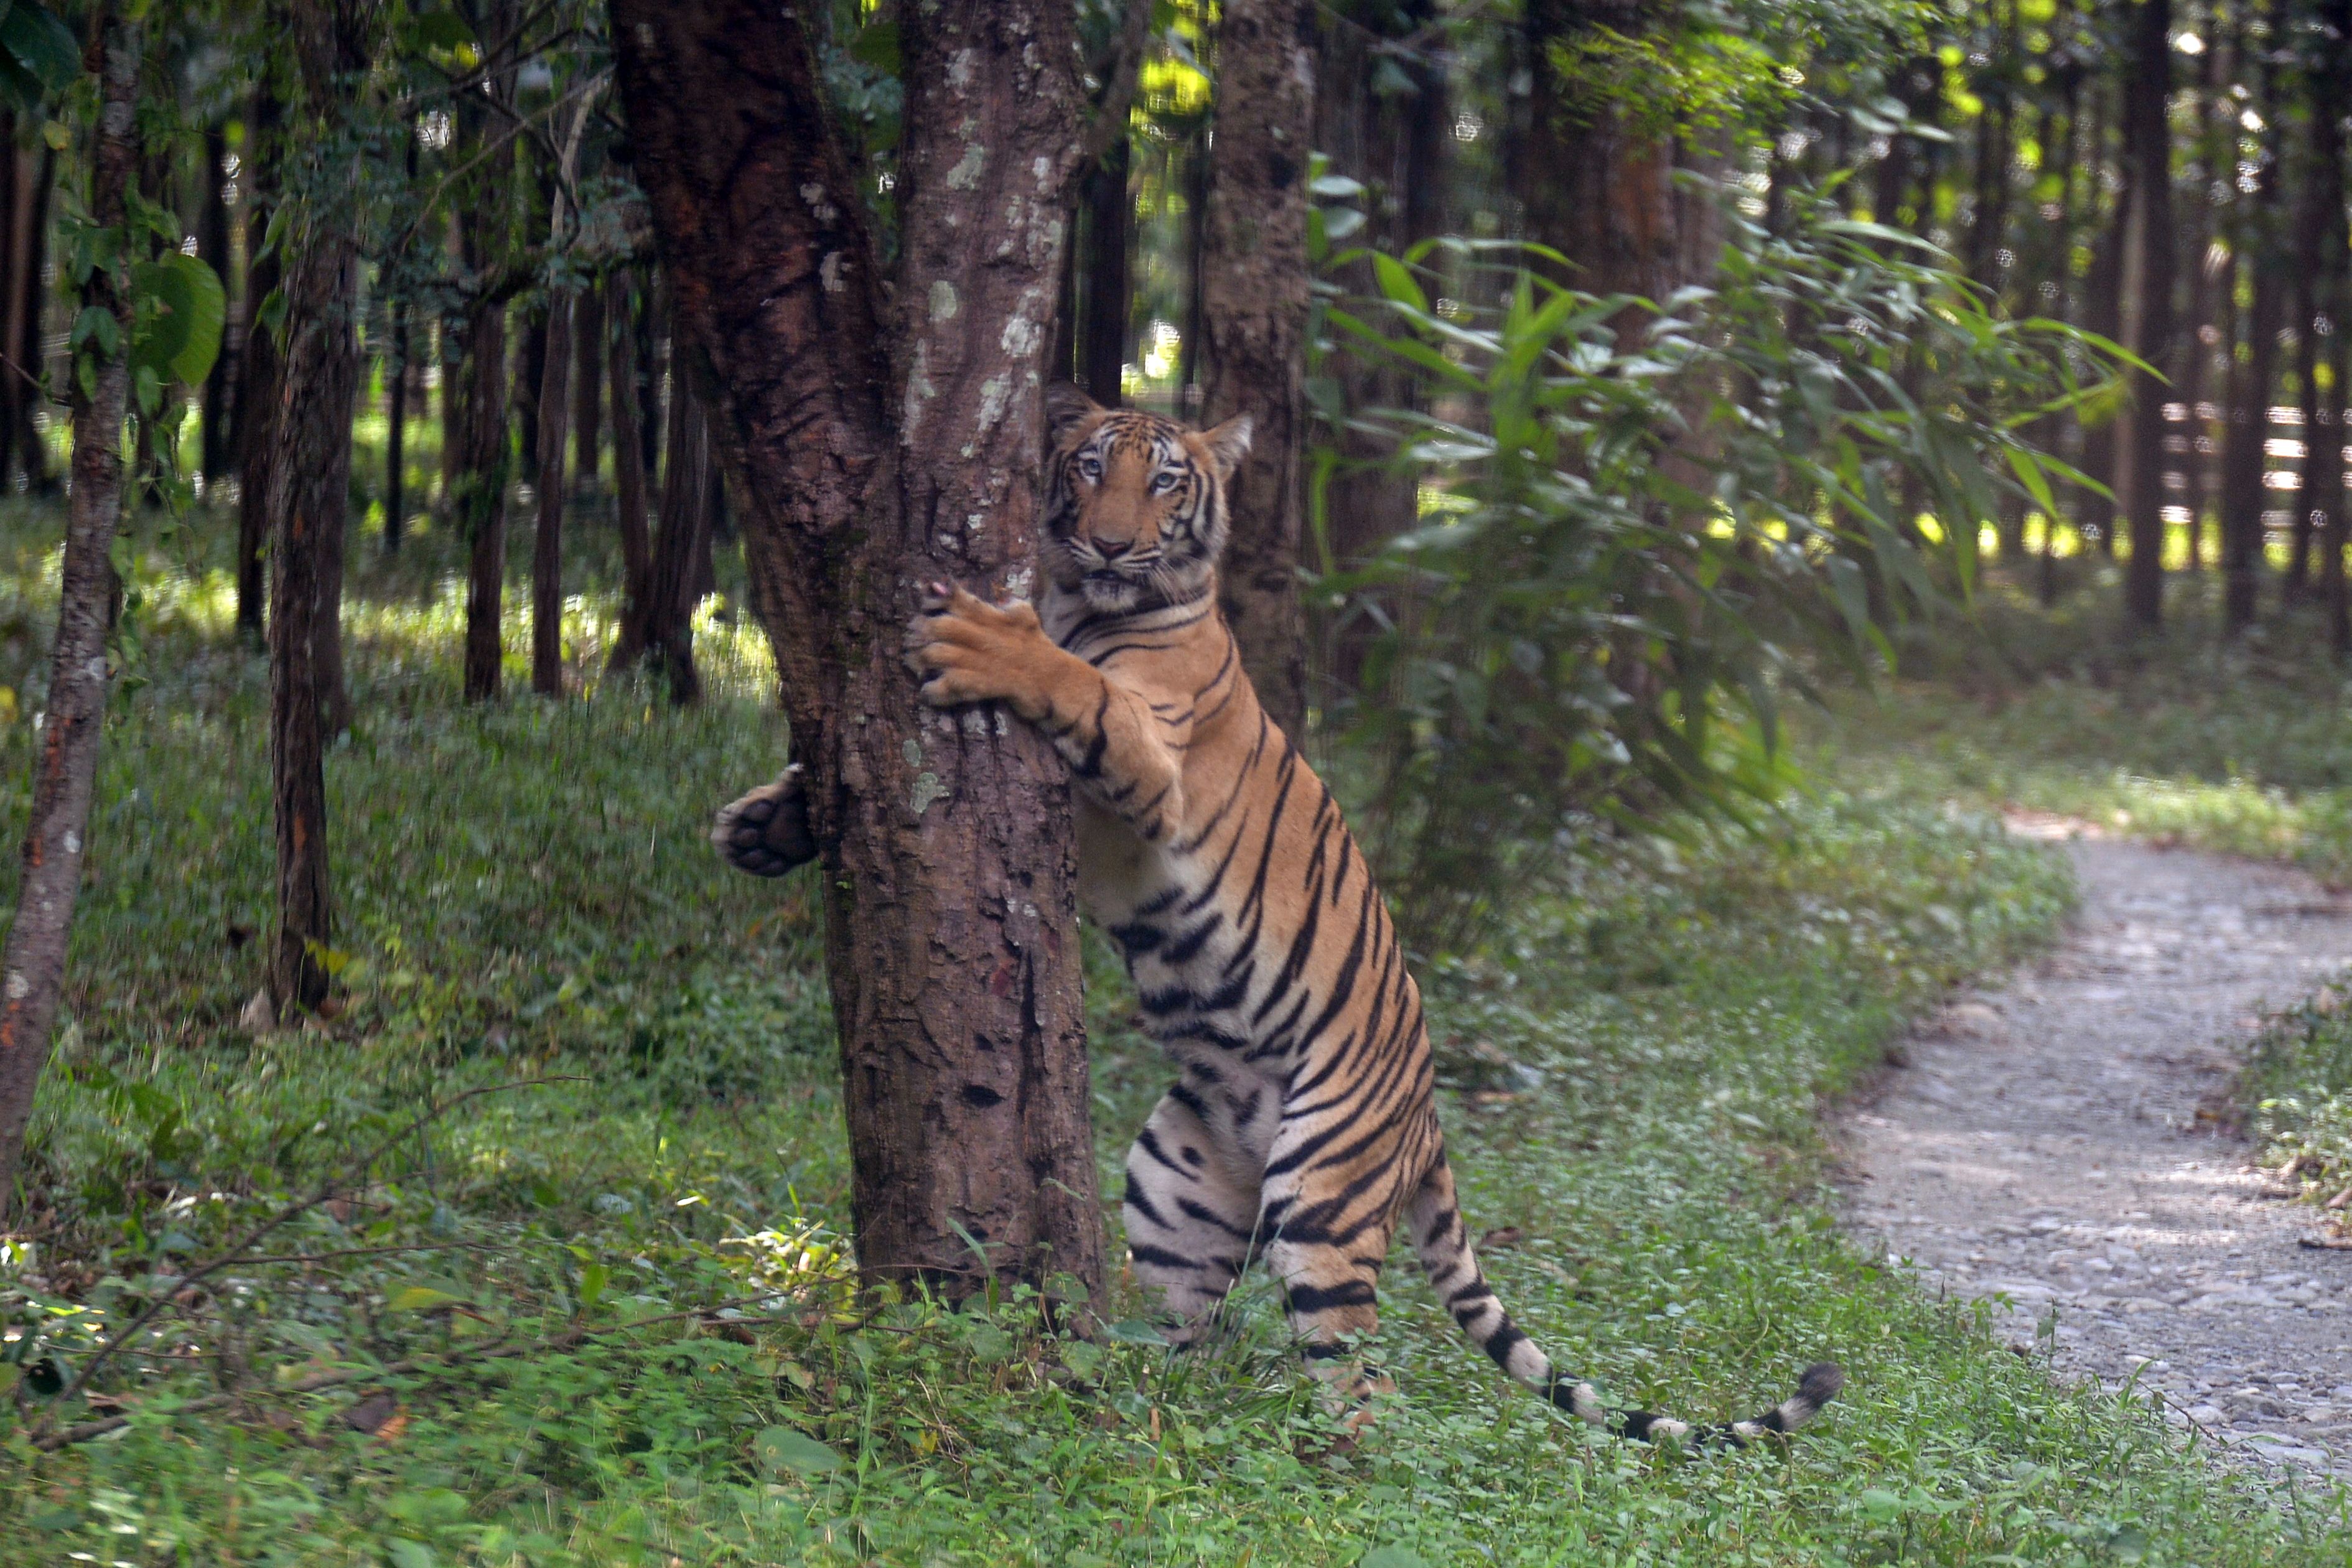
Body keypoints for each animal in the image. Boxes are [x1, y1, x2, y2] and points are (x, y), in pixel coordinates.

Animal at [711, 385, 1843, 1446]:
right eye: (1088, 467)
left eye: (1165, 481)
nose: (1108, 541)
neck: (1085, 599)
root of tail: (1429, 1121)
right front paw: (762, 827)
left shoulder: (1147, 765)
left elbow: (1073, 682)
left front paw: (986, 639)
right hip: (1172, 1183)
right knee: (1192, 1338)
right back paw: (1151, 1416)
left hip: (1323, 1190)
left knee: (1361, 1380)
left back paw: (1325, 1466)